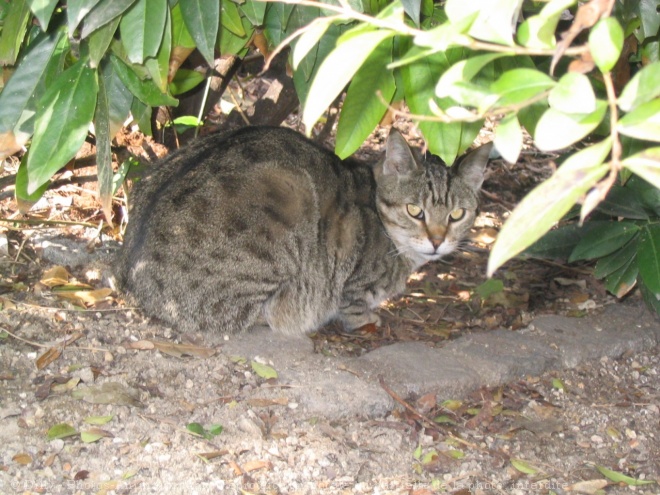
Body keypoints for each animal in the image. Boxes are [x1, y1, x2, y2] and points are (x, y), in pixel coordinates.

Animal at [116, 127, 492, 338]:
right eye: (415, 211)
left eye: (457, 214)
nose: (437, 241)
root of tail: (132, 281)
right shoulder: (352, 280)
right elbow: (352, 303)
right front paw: (365, 317)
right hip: (286, 193)